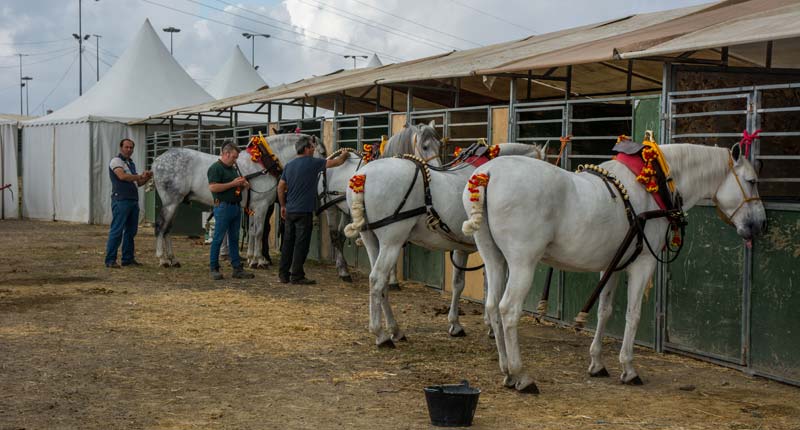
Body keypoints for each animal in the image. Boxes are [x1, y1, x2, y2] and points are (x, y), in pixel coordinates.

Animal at [150, 134, 324, 268]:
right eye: (322, 151)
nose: (325, 167)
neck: (262, 163)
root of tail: (157, 161)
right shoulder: (261, 206)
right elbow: (259, 232)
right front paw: (259, 261)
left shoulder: (254, 207)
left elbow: (253, 232)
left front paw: (251, 258)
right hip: (171, 203)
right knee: (161, 226)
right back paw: (162, 259)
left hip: (175, 203)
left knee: (168, 229)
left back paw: (173, 259)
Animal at [318, 121, 444, 284]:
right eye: (425, 146)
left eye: (439, 145)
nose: (439, 169)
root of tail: (332, 157)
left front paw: (393, 280)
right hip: (331, 208)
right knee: (334, 236)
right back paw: (343, 271)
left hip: (345, 210)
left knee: (340, 236)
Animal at [340, 143, 548, 348]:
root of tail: (364, 175)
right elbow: (489, 286)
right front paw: (490, 326)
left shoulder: (462, 247)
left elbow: (458, 283)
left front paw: (455, 324)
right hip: (392, 241)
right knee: (377, 280)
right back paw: (381, 335)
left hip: (371, 239)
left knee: (380, 284)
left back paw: (395, 330)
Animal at [462, 143, 768, 392]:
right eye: (752, 181)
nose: (760, 224)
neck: (651, 186)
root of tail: (489, 175)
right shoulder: (643, 264)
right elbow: (633, 315)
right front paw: (629, 369)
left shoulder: (614, 263)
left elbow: (605, 312)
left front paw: (597, 363)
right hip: (523, 262)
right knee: (508, 310)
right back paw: (522, 376)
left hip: (494, 258)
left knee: (492, 307)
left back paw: (506, 371)